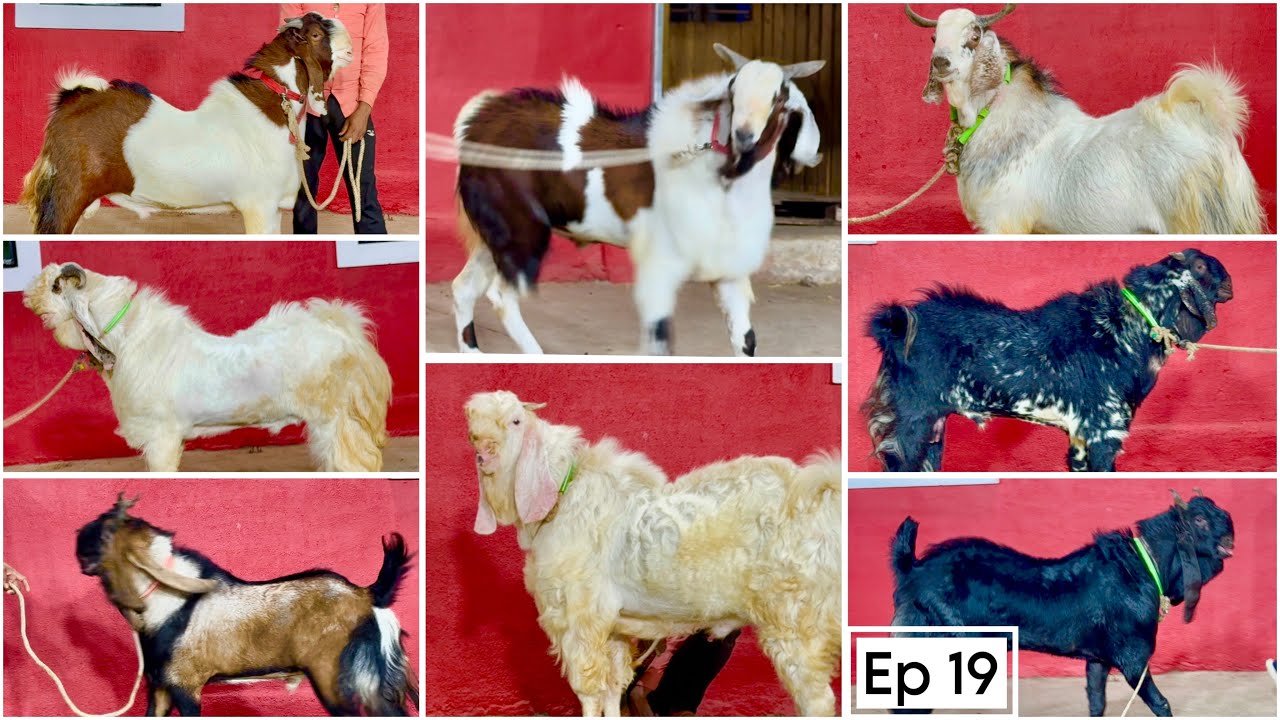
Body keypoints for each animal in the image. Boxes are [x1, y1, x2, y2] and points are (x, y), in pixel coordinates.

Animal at [75, 494, 418, 716]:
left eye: (107, 531)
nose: (78, 538)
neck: (169, 606)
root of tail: (368, 593)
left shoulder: (186, 686)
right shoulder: (159, 686)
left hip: (336, 677)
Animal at [451, 44, 824, 355]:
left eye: (779, 98)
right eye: (733, 90)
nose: (744, 137)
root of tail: (477, 123)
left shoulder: (727, 267)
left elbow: (745, 340)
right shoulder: (662, 262)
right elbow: (659, 338)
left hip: (496, 234)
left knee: (463, 288)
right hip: (521, 231)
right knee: (501, 295)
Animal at [465, 391, 841, 715]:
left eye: (515, 420)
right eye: (471, 431)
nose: (485, 453)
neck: (563, 494)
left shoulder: (580, 616)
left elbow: (589, 691)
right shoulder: (614, 627)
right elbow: (613, 688)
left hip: (797, 620)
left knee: (817, 699)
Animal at [863, 249, 1233, 471]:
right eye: (1201, 266)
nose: (1230, 281)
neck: (1127, 330)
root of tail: (896, 324)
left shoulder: (1081, 438)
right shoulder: (1104, 430)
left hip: (934, 428)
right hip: (913, 419)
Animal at [890, 491, 1235, 716]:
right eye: (1200, 520)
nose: (1231, 526)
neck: (1145, 568)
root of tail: (912, 569)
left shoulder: (1098, 659)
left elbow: (1096, 702)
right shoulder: (1133, 658)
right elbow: (1161, 703)